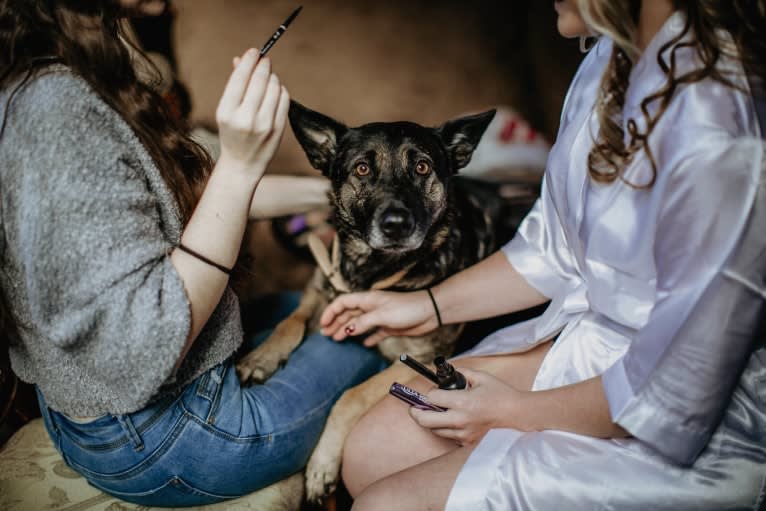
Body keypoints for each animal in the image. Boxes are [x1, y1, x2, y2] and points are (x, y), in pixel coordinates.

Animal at [238, 101, 504, 504]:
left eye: (422, 167)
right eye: (362, 169)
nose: (396, 224)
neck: (372, 272)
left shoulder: (418, 363)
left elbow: (351, 396)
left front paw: (321, 465)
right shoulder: (324, 292)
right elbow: (291, 321)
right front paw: (260, 358)